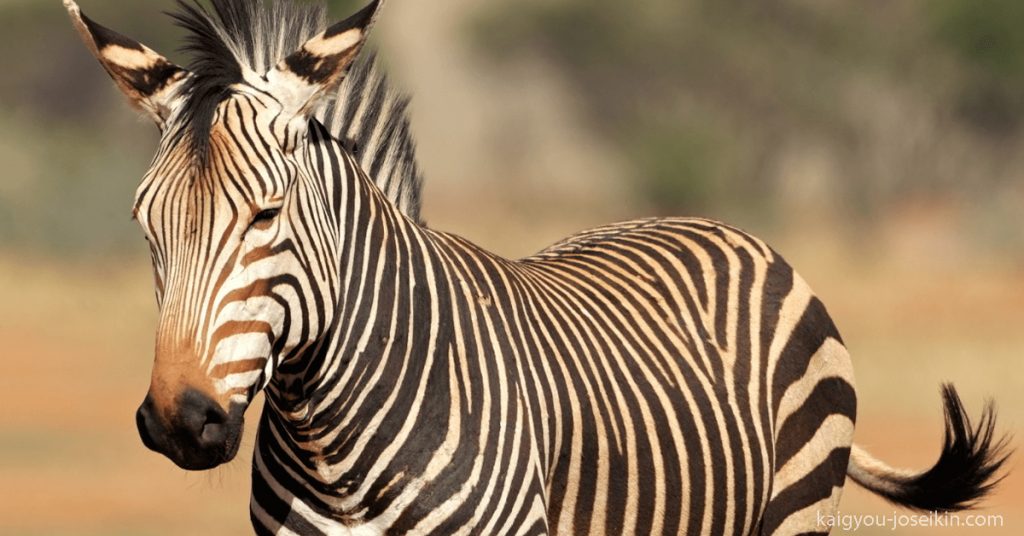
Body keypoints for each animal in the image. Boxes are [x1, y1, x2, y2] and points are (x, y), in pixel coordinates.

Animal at [65, 0, 1009, 534]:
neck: (336, 447)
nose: (179, 423)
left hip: (796, 508)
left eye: (265, 216)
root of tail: (729, 229)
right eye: (148, 229)